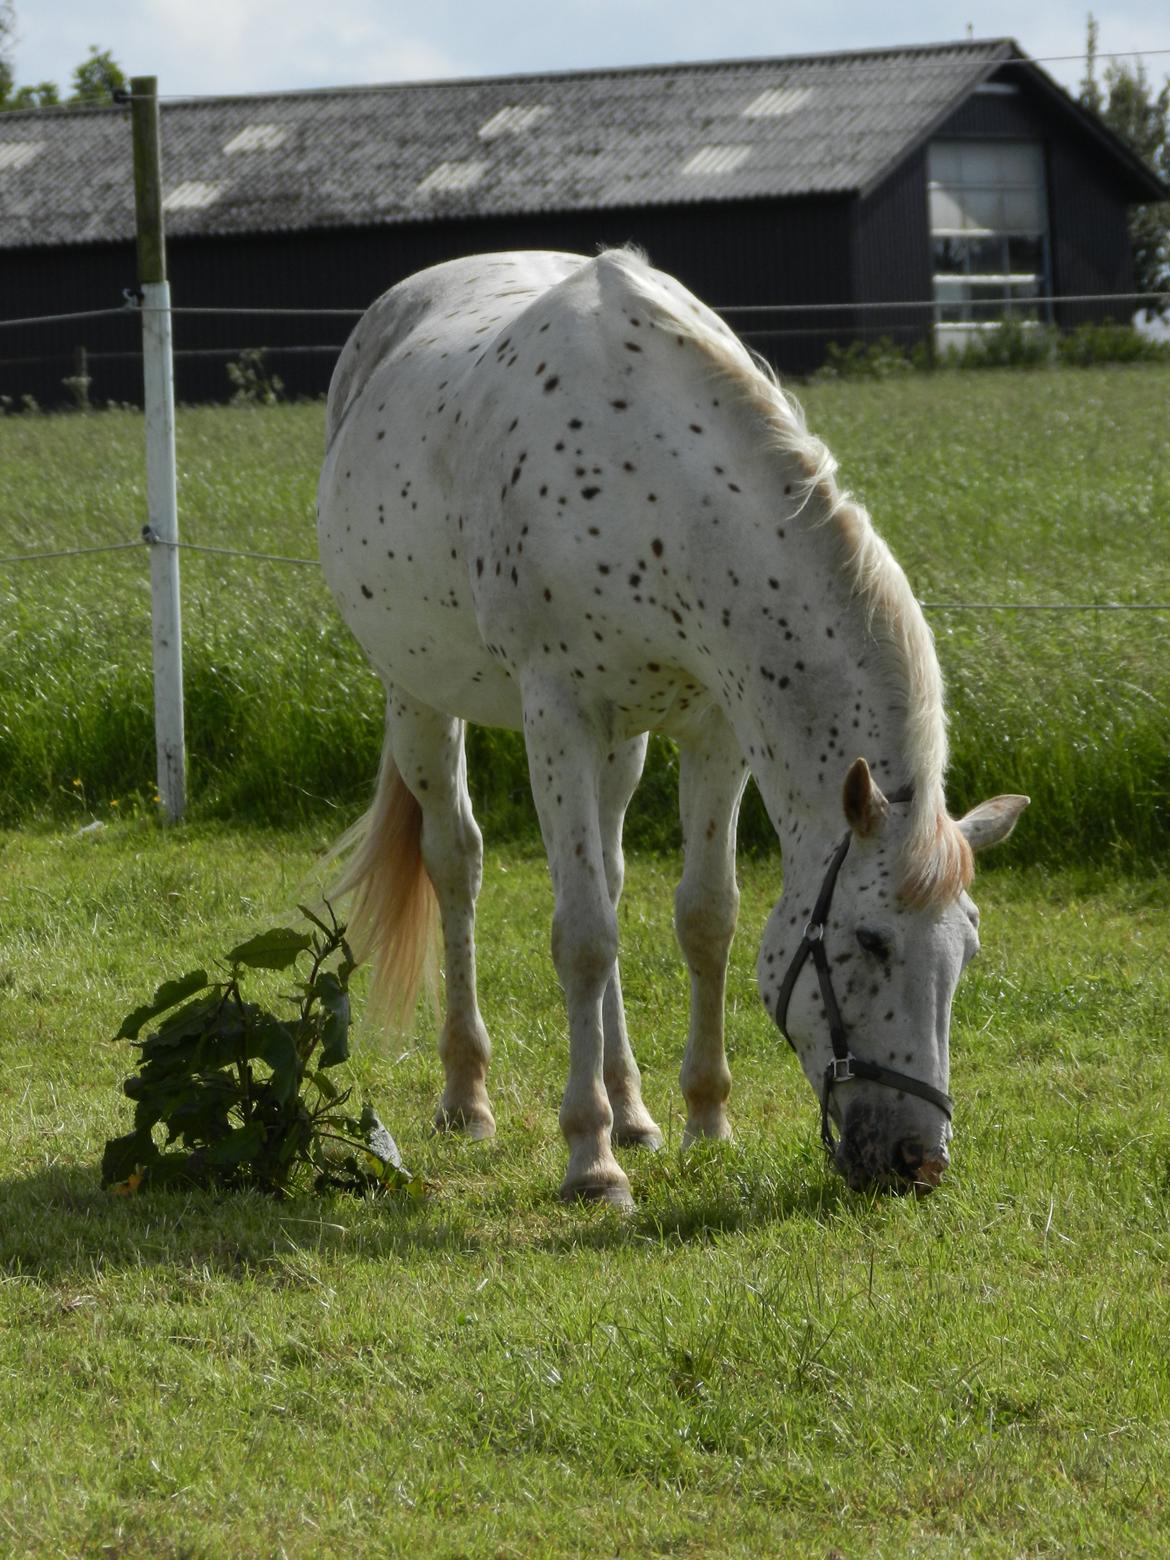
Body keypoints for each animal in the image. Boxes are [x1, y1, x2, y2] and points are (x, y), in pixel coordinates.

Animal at [316, 252, 1029, 1204]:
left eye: (969, 952)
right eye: (870, 942)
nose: (919, 1161)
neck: (654, 489)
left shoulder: (714, 728)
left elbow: (704, 918)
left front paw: (703, 1122)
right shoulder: (557, 716)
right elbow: (582, 936)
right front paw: (590, 1159)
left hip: (623, 741)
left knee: (611, 876)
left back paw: (635, 1111)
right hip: (419, 697)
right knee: (456, 863)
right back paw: (468, 1097)